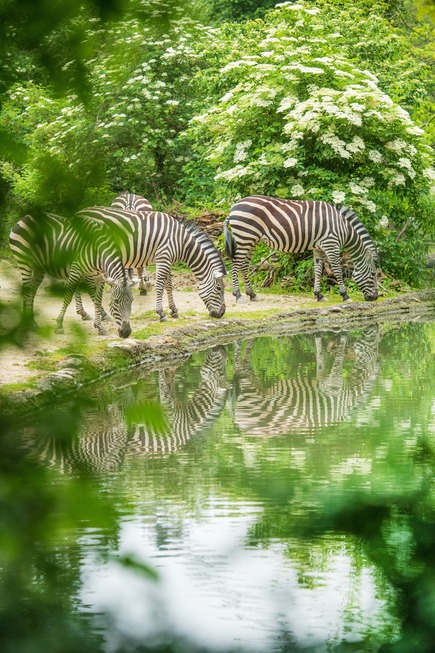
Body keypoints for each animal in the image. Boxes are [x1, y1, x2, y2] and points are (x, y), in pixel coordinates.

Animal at [75, 205, 227, 320]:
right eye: (219, 289)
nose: (221, 314)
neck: (182, 242)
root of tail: (76, 214)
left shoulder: (168, 260)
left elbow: (169, 285)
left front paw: (174, 310)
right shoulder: (163, 257)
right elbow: (160, 285)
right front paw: (161, 313)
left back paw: (94, 313)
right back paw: (86, 313)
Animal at [223, 195, 380, 302]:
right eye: (373, 274)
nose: (375, 297)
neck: (344, 229)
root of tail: (233, 208)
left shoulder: (319, 248)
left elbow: (318, 270)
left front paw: (319, 295)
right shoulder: (331, 244)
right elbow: (337, 270)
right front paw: (345, 295)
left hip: (251, 240)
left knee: (244, 265)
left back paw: (252, 294)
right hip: (245, 237)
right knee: (236, 263)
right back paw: (238, 294)